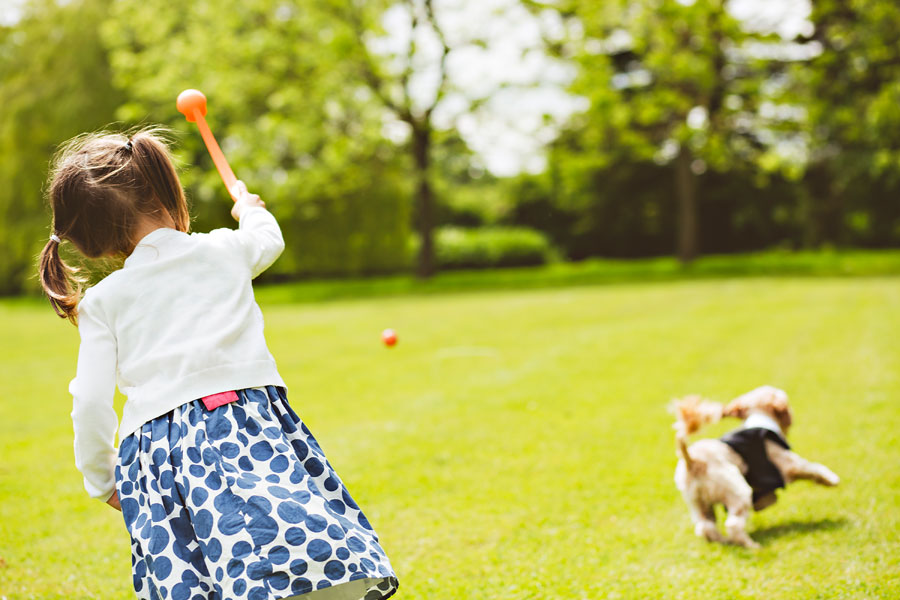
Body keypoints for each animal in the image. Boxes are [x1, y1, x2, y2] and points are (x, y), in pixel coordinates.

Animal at [672, 384, 840, 548]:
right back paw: (751, 545)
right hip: (737, 490)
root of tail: (692, 461)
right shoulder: (787, 463)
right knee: (733, 524)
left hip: (698, 502)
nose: (791, 416)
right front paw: (831, 480)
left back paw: (724, 541)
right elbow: (813, 468)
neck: (759, 418)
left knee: (705, 527)